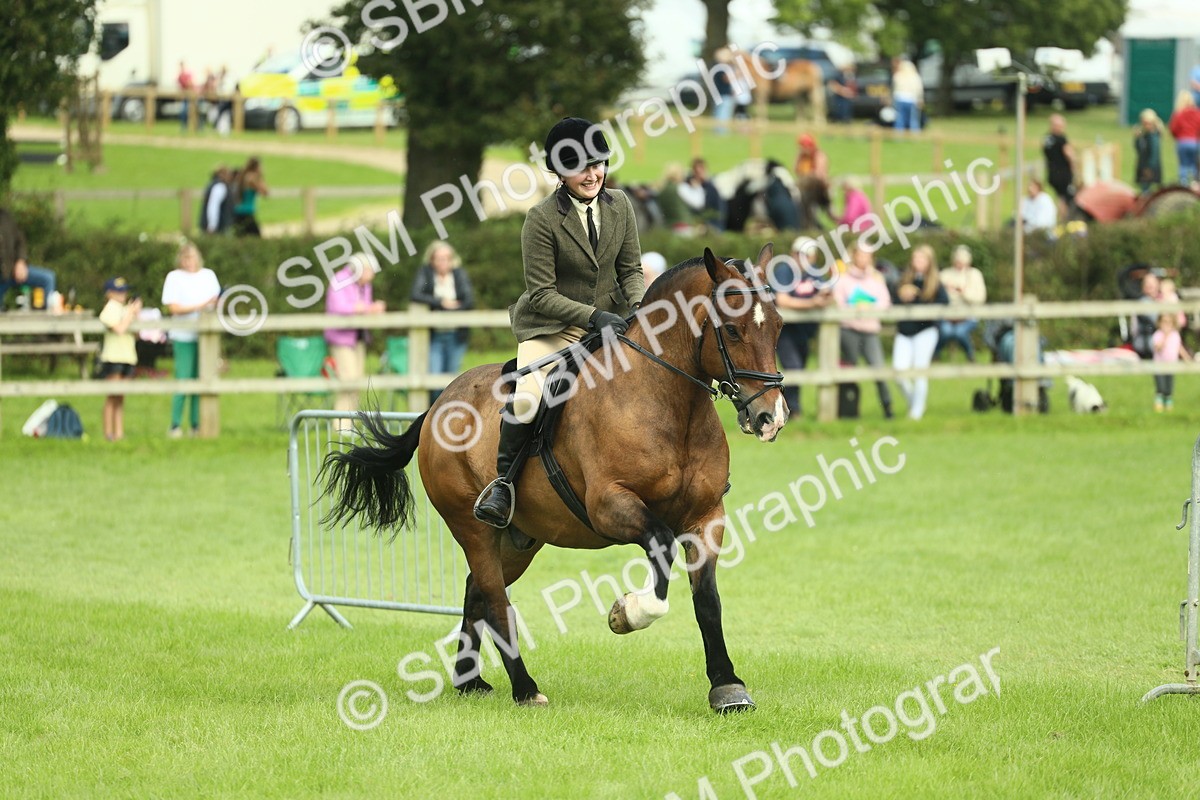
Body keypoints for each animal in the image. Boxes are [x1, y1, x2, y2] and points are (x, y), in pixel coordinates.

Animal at [320, 246, 787, 713]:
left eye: (779, 325)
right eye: (732, 329)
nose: (771, 418)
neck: (669, 402)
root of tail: (437, 404)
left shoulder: (707, 515)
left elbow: (707, 600)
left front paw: (727, 687)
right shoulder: (610, 505)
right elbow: (660, 547)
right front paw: (626, 614)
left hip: (520, 539)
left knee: (476, 593)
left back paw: (469, 680)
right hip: (471, 526)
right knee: (495, 601)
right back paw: (525, 688)